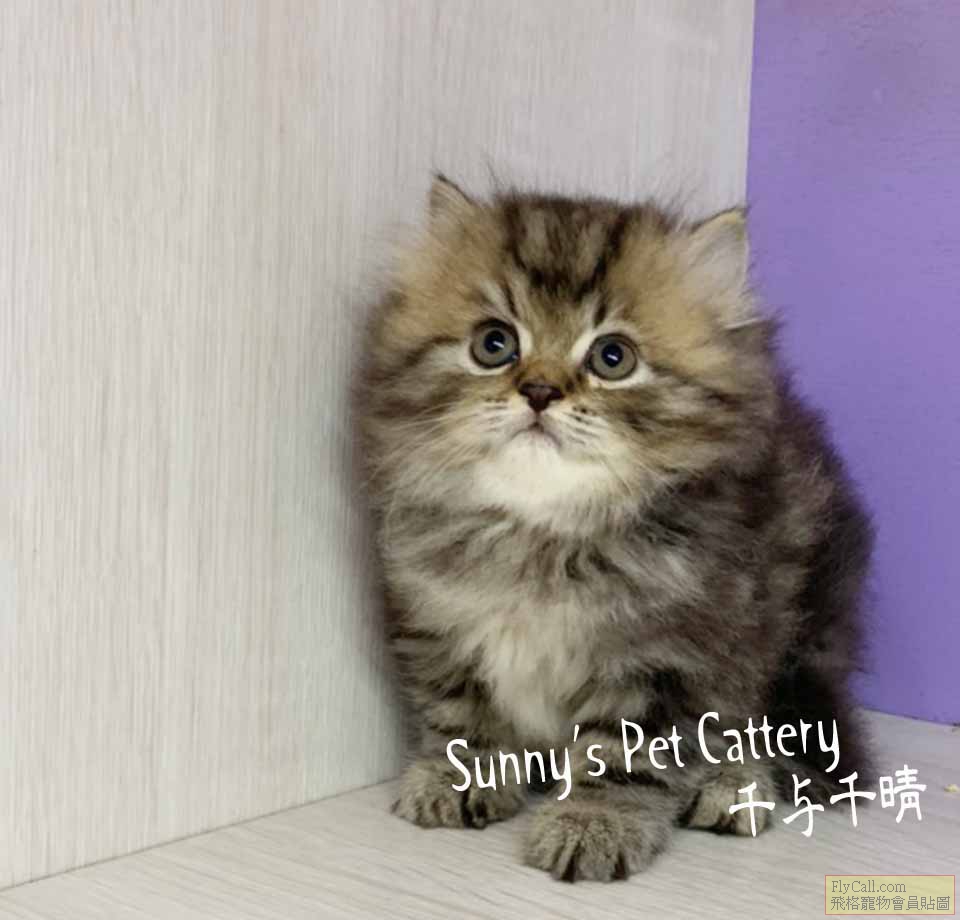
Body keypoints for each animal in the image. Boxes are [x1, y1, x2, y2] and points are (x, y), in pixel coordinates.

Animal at [359, 175, 873, 882]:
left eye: (612, 357)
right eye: (494, 344)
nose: (539, 391)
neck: (543, 536)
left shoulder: (669, 653)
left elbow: (623, 756)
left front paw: (594, 822)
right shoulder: (437, 622)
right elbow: (460, 711)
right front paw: (459, 777)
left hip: (795, 624)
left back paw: (732, 785)